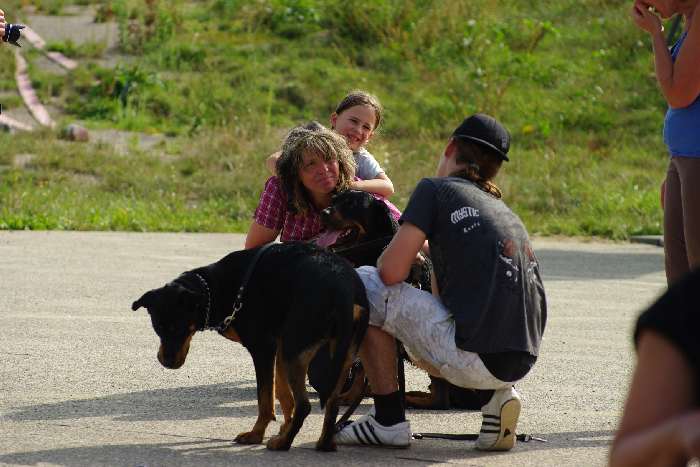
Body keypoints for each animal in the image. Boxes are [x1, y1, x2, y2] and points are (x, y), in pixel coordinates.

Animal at [132, 242, 369, 451]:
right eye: (158, 327)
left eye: (179, 327)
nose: (167, 362)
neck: (216, 287)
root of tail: (343, 290)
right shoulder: (278, 347)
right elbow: (282, 394)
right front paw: (284, 426)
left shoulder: (263, 348)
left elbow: (265, 399)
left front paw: (257, 434)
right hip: (339, 354)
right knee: (332, 402)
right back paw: (324, 443)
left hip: (296, 350)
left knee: (305, 404)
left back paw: (283, 444)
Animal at [319, 189, 491, 411]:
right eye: (334, 200)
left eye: (351, 204)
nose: (323, 213)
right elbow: (361, 368)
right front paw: (352, 395)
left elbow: (362, 368)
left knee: (441, 399)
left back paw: (410, 398)